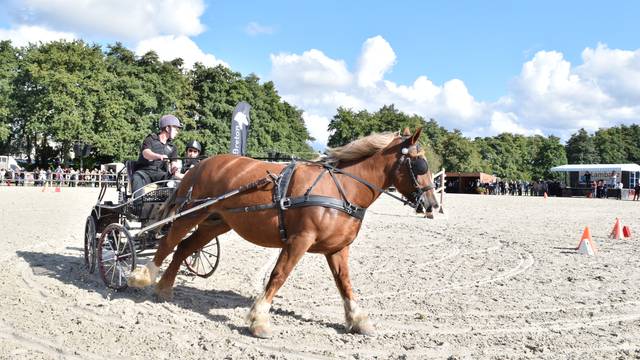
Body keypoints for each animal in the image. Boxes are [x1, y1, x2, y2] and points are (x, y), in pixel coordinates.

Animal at [130, 129, 440, 338]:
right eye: (420, 165)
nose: (432, 205)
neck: (341, 189)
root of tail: (200, 164)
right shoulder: (299, 240)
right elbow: (279, 275)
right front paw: (259, 320)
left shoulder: (337, 248)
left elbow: (345, 283)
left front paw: (357, 319)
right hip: (192, 213)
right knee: (168, 242)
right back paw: (142, 277)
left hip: (216, 222)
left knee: (184, 248)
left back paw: (164, 288)